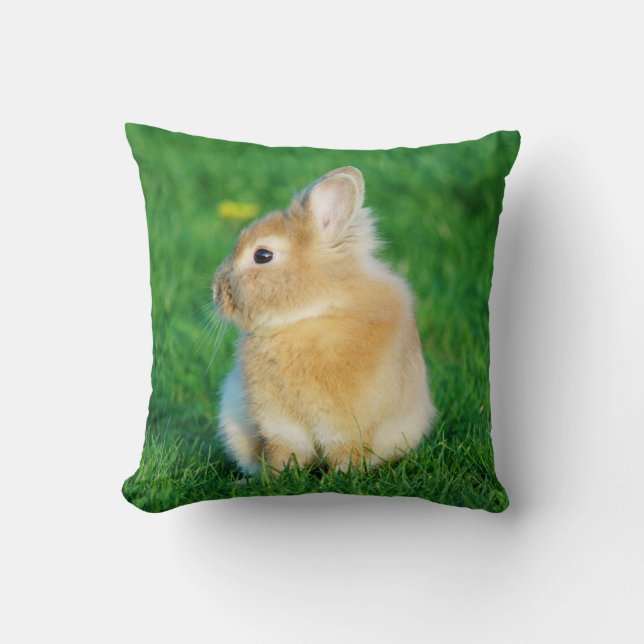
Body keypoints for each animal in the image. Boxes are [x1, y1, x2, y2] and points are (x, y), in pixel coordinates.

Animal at [212, 166, 436, 474]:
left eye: (262, 255)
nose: (216, 291)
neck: (312, 313)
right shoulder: (279, 423)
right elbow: (283, 451)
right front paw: (277, 478)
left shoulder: (345, 425)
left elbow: (344, 452)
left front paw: (343, 477)